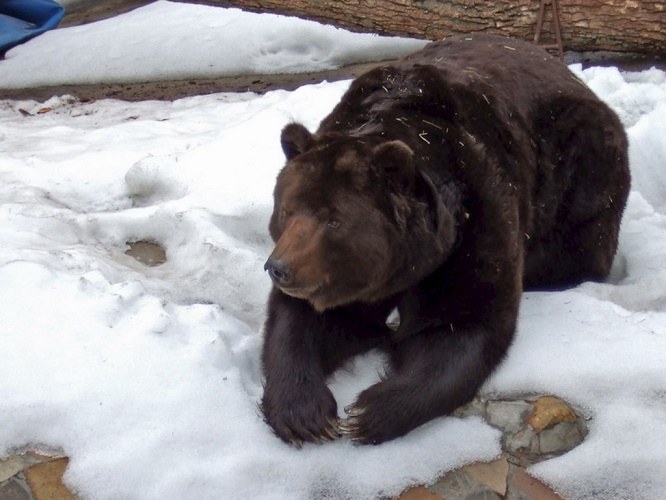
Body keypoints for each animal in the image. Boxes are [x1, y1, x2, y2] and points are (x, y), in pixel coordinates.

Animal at [258, 36, 628, 450]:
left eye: (334, 219)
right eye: (288, 209)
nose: (280, 268)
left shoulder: (475, 222)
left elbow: (460, 324)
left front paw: (368, 414)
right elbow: (301, 322)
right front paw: (305, 415)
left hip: (577, 163)